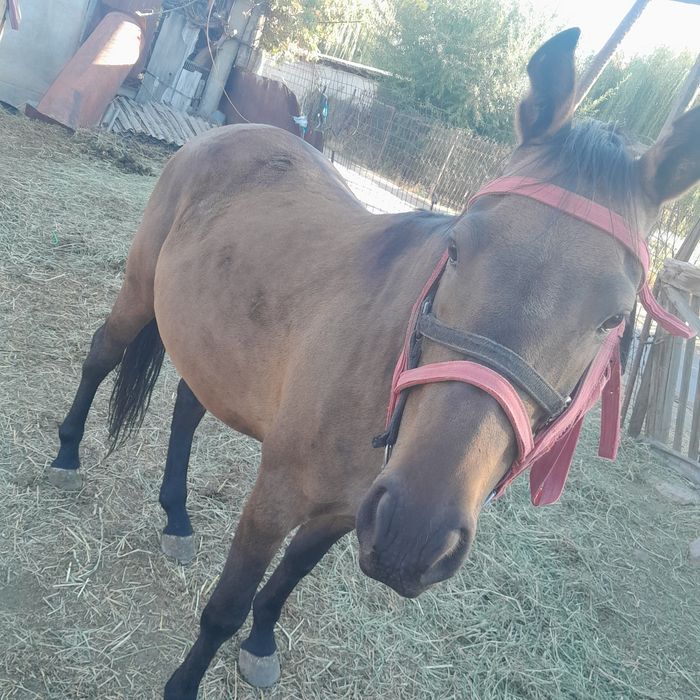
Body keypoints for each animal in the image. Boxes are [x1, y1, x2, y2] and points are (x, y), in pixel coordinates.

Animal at [48, 28, 699, 698]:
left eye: (615, 319)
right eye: (456, 247)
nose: (417, 531)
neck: (383, 381)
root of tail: (229, 133)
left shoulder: (349, 512)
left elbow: (286, 581)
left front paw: (261, 643)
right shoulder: (276, 500)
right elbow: (226, 607)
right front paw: (187, 681)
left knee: (186, 409)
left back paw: (176, 516)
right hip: (138, 292)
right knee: (102, 355)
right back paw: (67, 455)